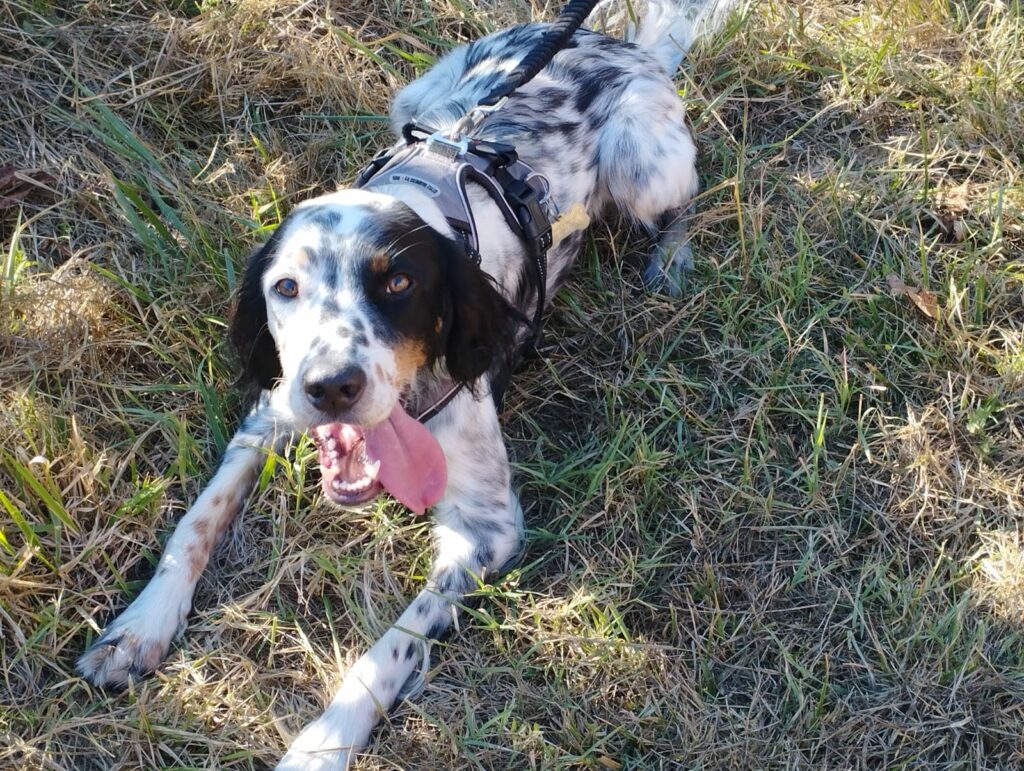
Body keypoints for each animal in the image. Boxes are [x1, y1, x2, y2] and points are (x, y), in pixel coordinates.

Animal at [77, 3, 729, 765]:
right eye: (286, 287)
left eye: (399, 283)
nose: (332, 386)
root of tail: (615, 41)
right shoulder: (269, 415)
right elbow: (196, 521)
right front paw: (139, 628)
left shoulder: (487, 529)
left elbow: (389, 647)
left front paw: (323, 743)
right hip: (416, 97)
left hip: (640, 160)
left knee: (682, 208)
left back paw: (671, 261)